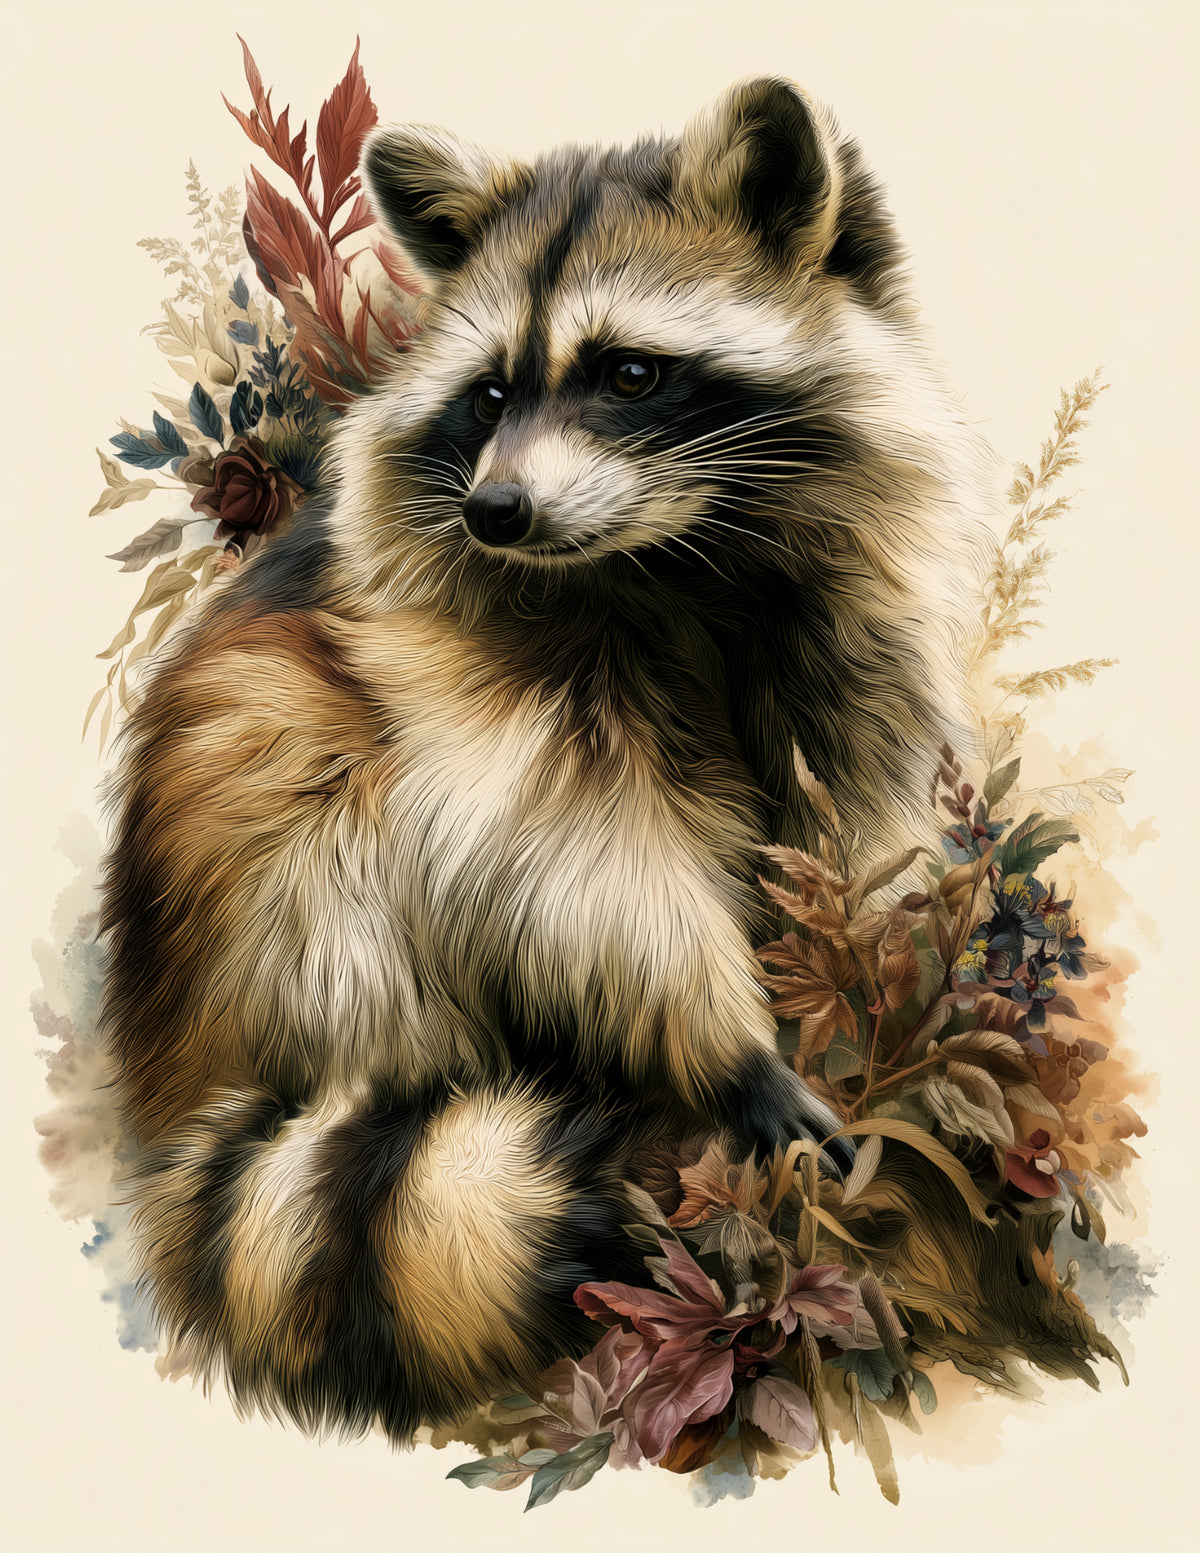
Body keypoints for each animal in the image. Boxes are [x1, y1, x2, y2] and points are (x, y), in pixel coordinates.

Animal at [100, 78, 988, 1443]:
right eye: (489, 392)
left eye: (628, 372)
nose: (496, 511)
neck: (681, 553)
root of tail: (167, 1061)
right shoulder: (453, 666)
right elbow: (566, 860)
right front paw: (726, 1044)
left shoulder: (847, 611)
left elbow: (853, 789)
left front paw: (882, 970)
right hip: (260, 828)